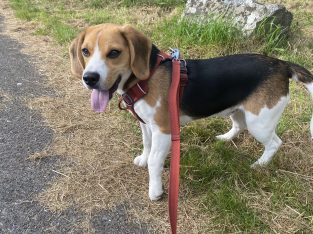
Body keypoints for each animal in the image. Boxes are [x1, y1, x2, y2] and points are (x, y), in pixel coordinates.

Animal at [69, 23, 312, 201]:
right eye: (85, 51)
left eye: (114, 53)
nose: (89, 78)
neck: (145, 77)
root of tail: (282, 64)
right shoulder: (146, 125)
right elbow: (147, 146)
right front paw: (142, 159)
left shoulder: (164, 130)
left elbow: (154, 161)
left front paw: (155, 191)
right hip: (239, 111)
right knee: (238, 125)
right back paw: (225, 138)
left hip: (260, 123)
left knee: (275, 143)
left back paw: (259, 165)